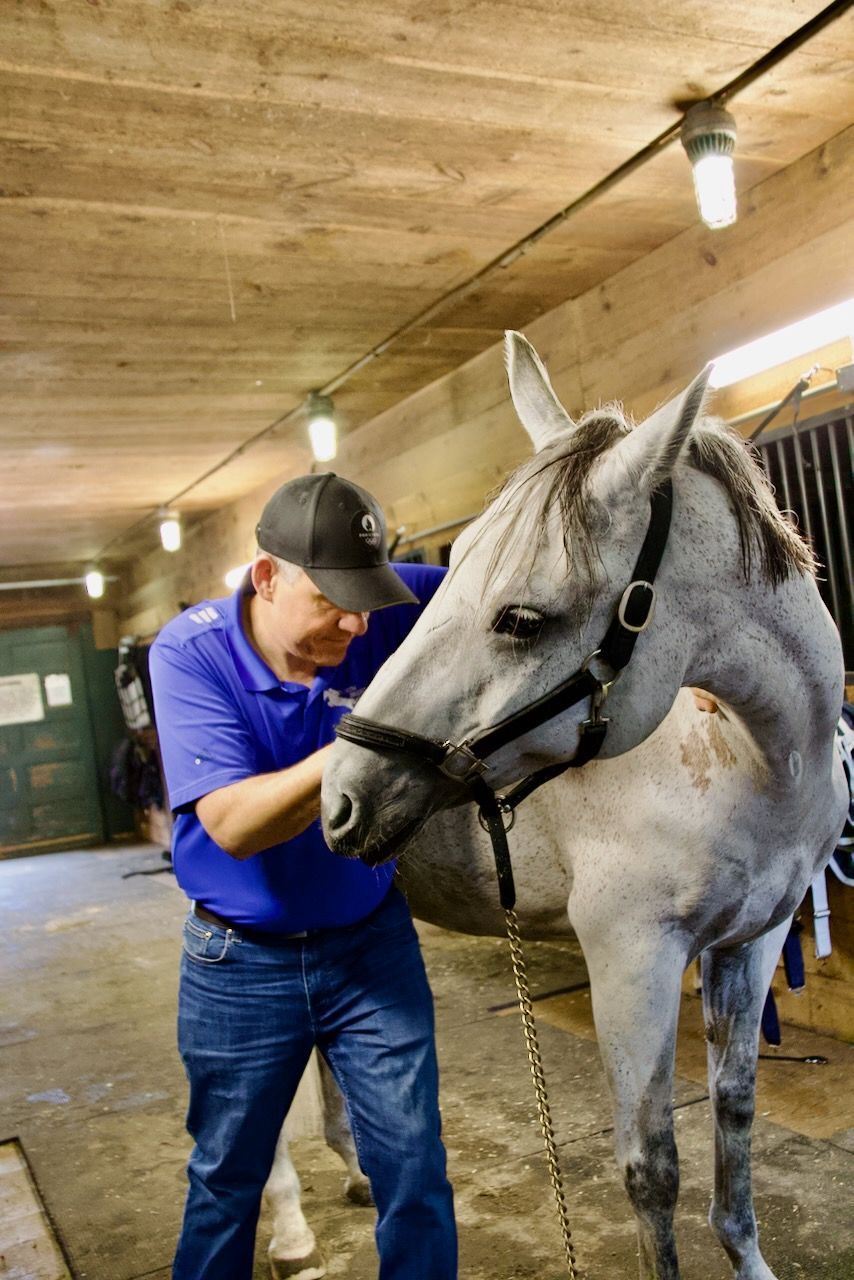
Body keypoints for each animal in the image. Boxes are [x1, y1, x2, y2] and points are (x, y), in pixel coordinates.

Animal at [317, 331, 847, 1280]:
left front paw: (746, 1255)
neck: (750, 763)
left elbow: (736, 1112)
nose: (340, 797)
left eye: (522, 619)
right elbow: (651, 1170)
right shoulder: (631, 957)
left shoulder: (754, 940)